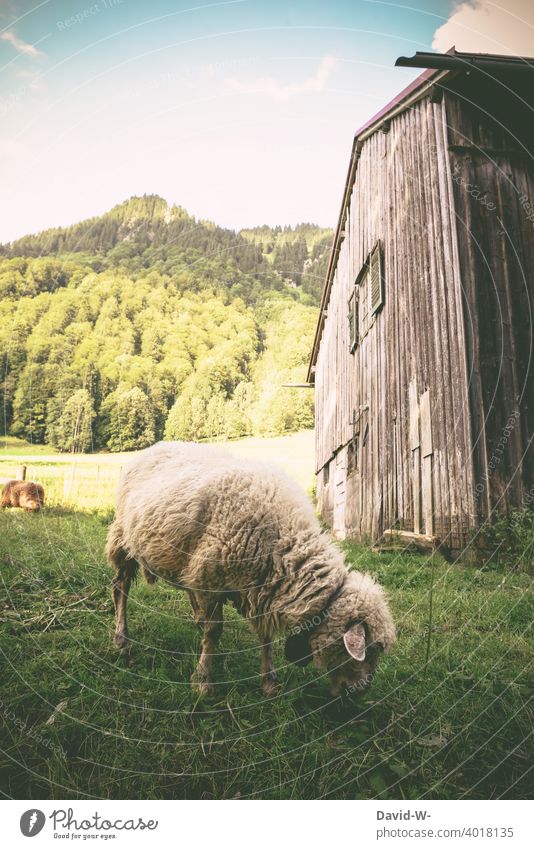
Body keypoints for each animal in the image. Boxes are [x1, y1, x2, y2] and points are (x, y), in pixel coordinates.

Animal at [107, 444, 396, 696]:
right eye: (369, 649)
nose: (361, 693)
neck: (283, 543)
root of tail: (149, 449)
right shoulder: (213, 579)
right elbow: (214, 631)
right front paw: (203, 680)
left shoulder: (259, 587)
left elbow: (264, 637)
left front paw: (268, 682)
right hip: (123, 539)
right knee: (120, 588)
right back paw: (122, 639)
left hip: (187, 560)